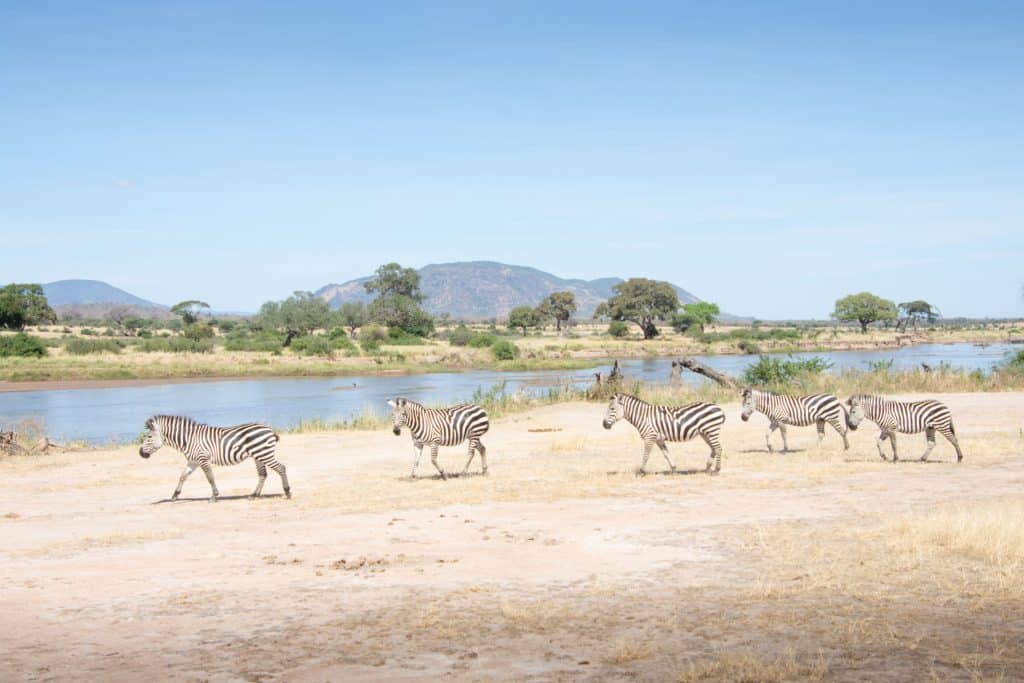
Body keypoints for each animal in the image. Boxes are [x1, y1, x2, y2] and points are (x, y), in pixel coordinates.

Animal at [139, 415, 290, 502]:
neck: (188, 439)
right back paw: (254, 495)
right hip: (259, 455)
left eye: (149, 437)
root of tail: (269, 429)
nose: (140, 453)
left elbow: (210, 477)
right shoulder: (193, 461)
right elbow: (182, 476)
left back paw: (287, 492)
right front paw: (175, 495)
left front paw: (214, 496)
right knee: (263, 474)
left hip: (264, 453)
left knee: (281, 468)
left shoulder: (202, 458)